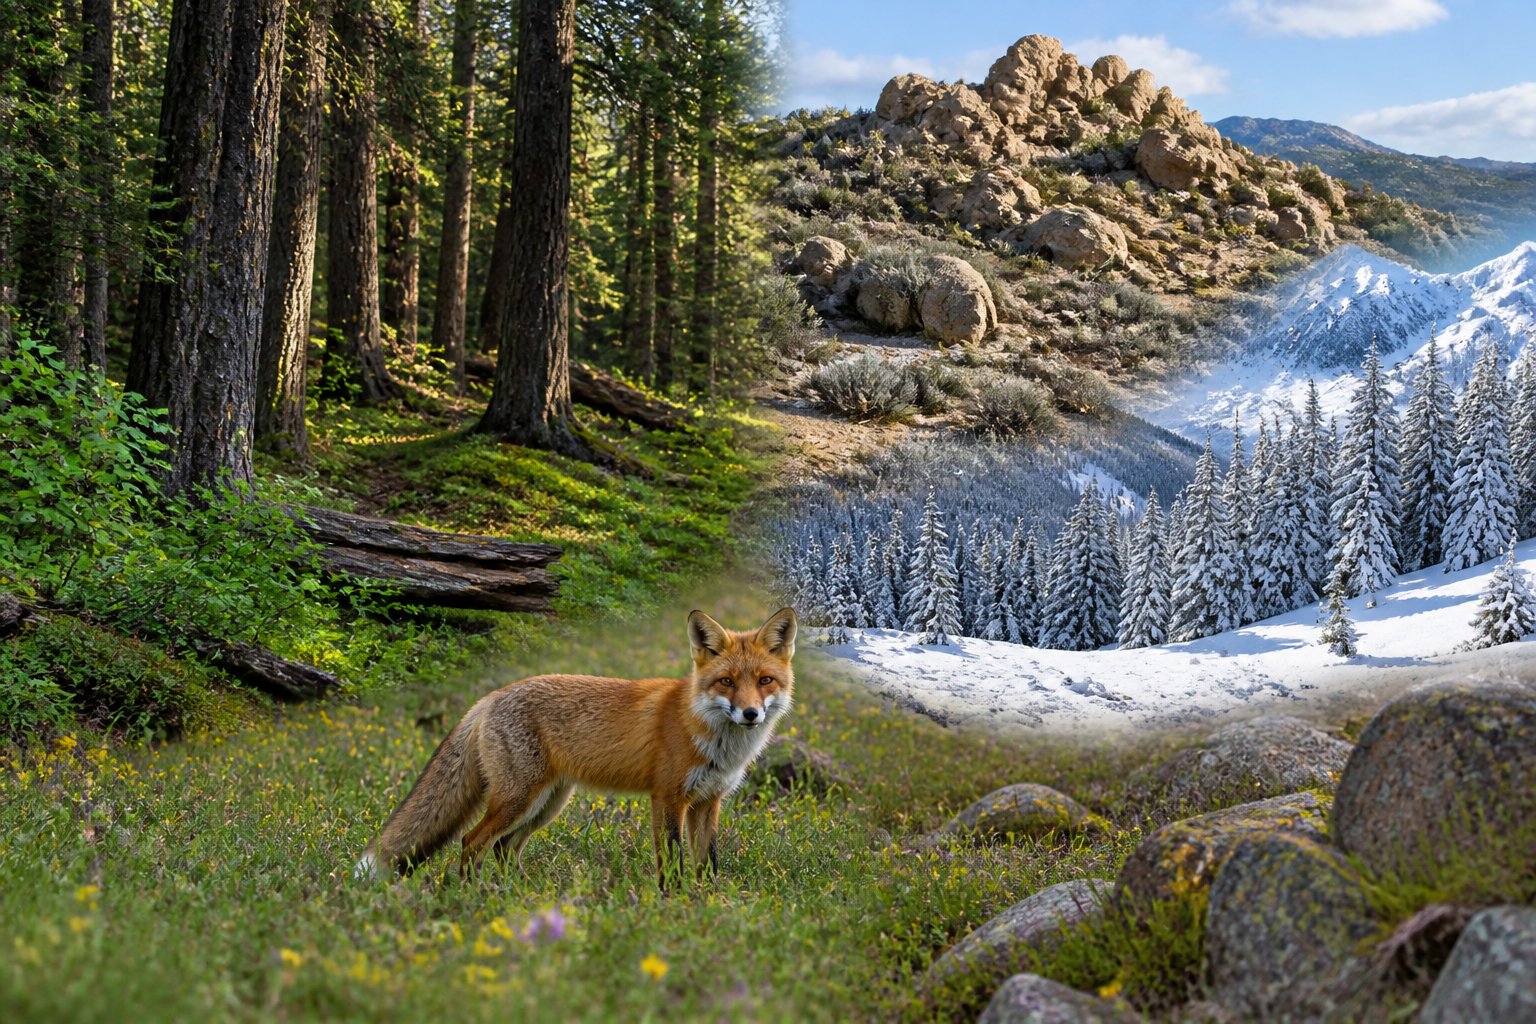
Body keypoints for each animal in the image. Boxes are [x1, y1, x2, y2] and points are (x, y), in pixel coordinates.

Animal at [354, 607, 796, 886]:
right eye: (726, 682)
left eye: (764, 681)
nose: (750, 714)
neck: (714, 739)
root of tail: (491, 696)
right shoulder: (668, 797)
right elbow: (671, 863)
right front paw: (674, 907)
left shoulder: (708, 801)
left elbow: (709, 864)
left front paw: (708, 906)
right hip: (519, 799)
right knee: (472, 842)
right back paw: (472, 897)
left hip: (546, 804)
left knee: (503, 849)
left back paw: (519, 897)